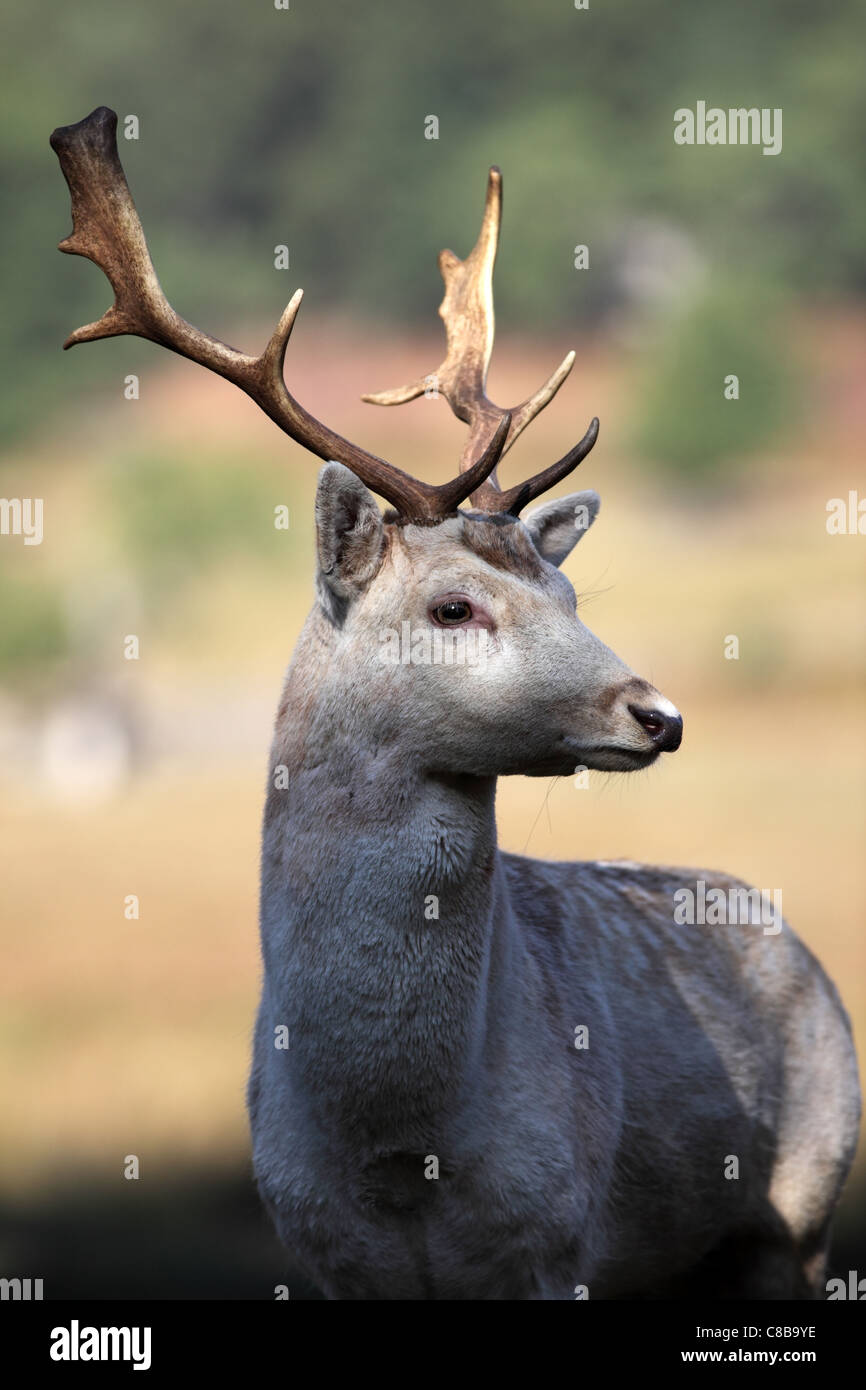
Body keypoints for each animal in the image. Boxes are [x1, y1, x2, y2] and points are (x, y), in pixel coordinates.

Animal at [54, 111, 861, 1301]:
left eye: (568, 593)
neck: (398, 1150)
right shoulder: (315, 1246)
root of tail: (786, 930)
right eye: (452, 605)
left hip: (804, 1196)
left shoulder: (556, 1236)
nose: (658, 713)